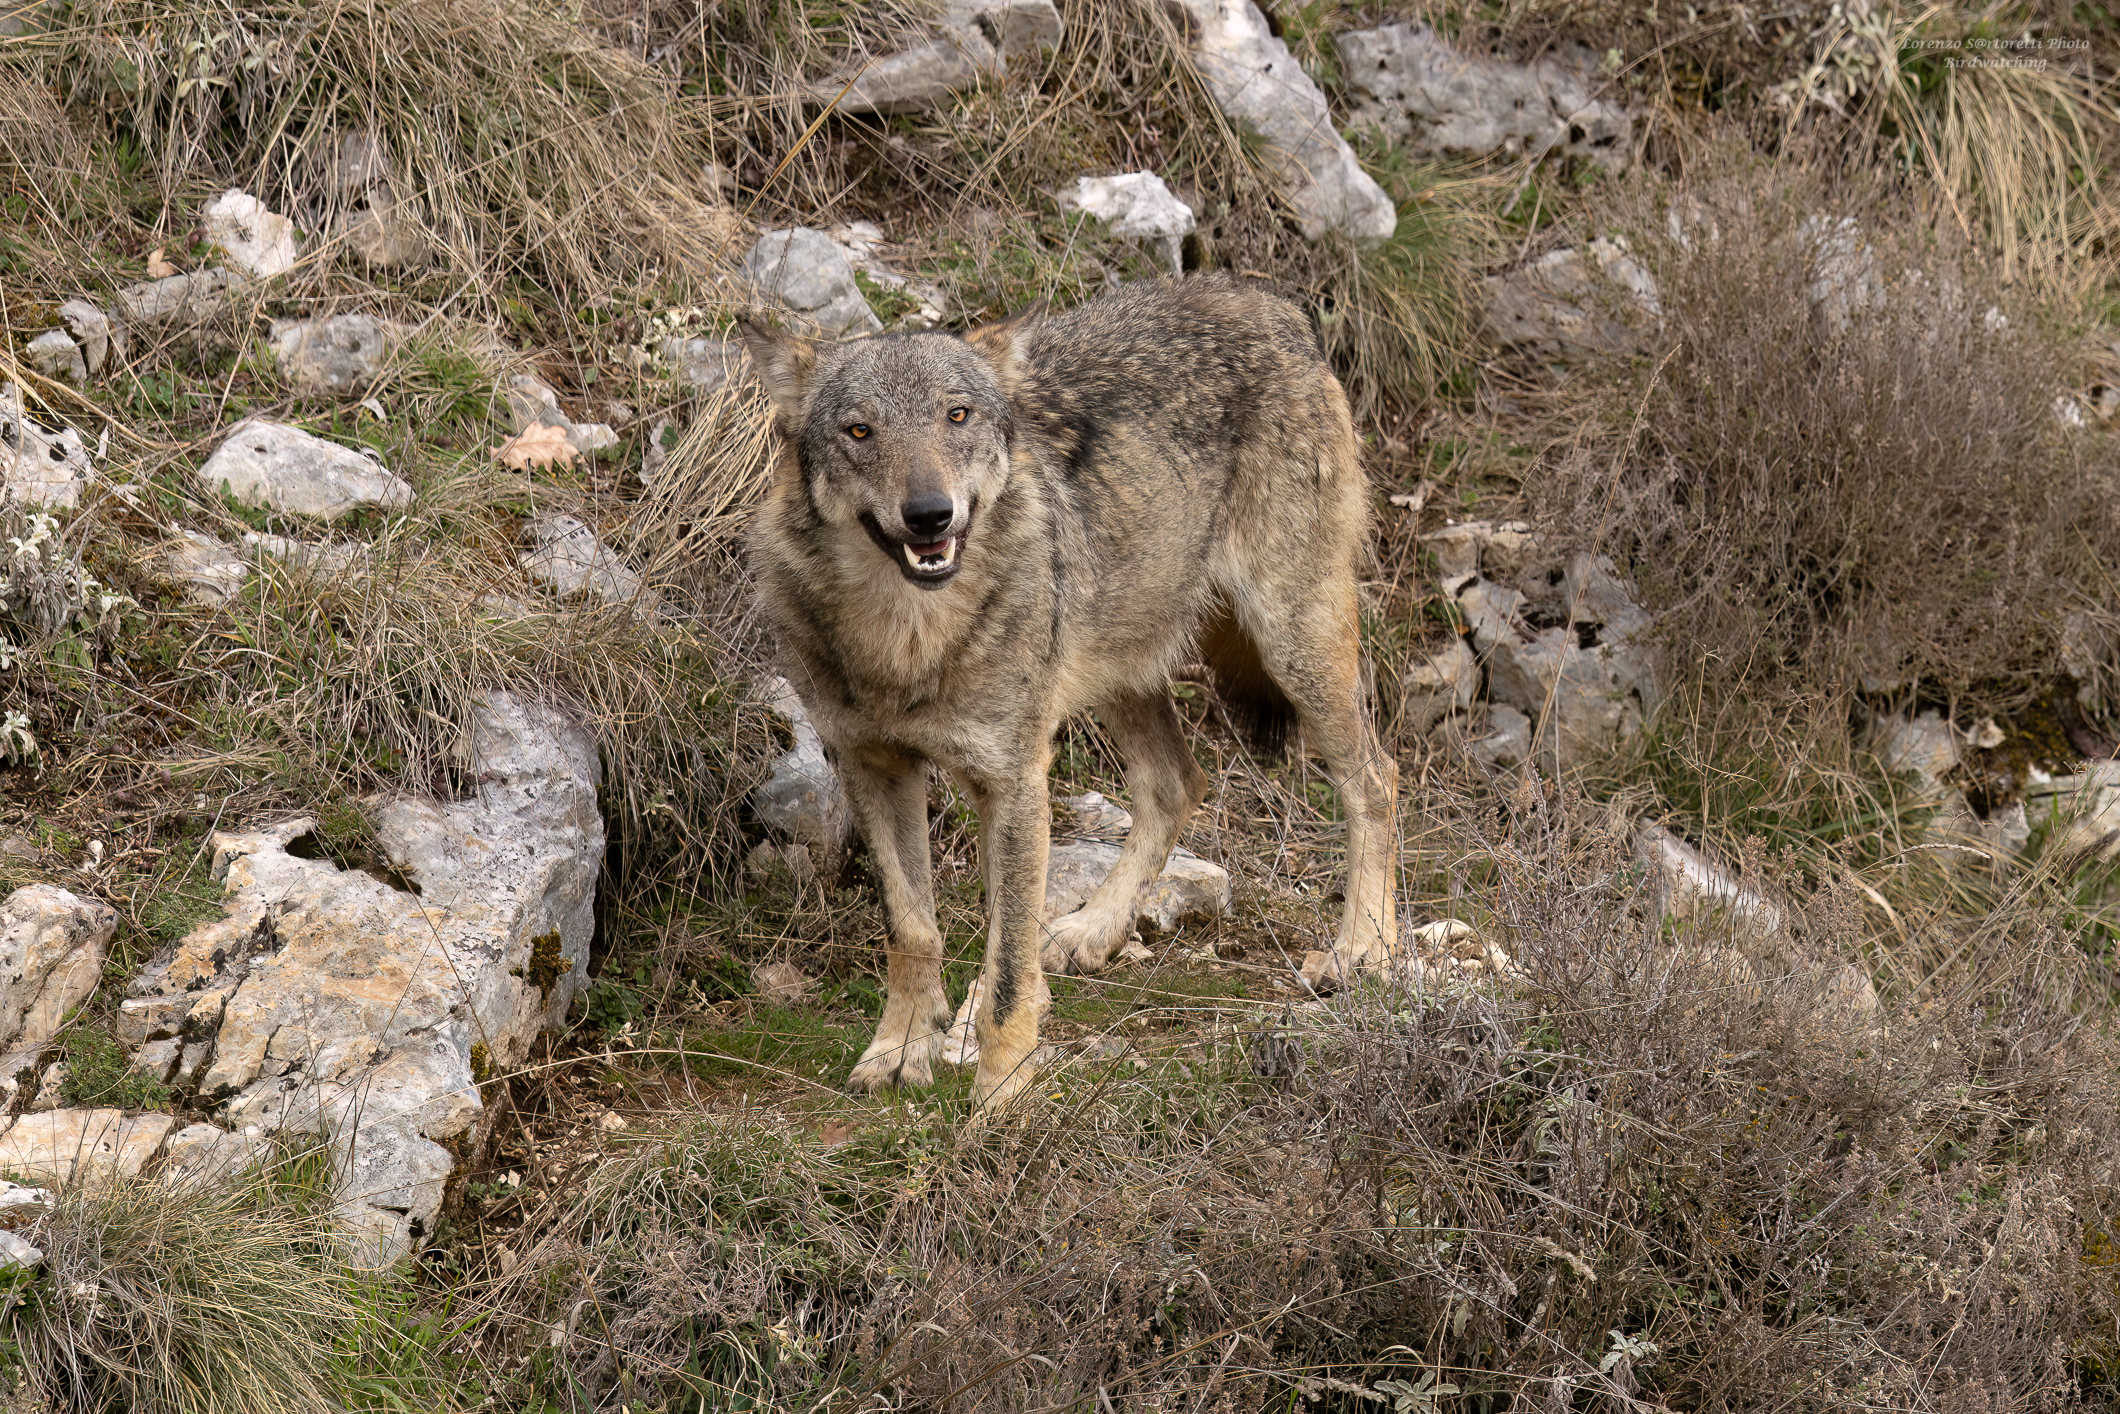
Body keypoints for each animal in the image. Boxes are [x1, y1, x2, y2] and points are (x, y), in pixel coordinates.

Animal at [738, 275, 1397, 1113]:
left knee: (1374, 777)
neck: (907, 640)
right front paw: (898, 1050)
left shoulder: (1014, 779)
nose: (930, 514)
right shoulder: (873, 766)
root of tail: (1271, 305)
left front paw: (1001, 1095)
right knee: (1177, 784)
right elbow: (912, 929)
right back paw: (1093, 931)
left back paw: (1363, 947)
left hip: (1294, 642)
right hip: (1116, 666)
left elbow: (1009, 964)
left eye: (957, 416)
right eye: (859, 431)